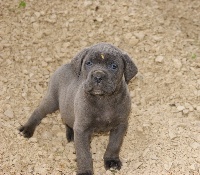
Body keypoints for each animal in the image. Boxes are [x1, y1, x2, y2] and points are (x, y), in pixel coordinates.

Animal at [19, 42, 138, 175]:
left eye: (113, 66)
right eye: (89, 63)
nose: (98, 76)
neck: (103, 100)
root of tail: (66, 65)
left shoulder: (120, 125)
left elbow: (114, 145)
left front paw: (112, 161)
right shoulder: (82, 129)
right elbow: (84, 154)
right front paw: (85, 171)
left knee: (67, 118)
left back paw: (71, 133)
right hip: (52, 101)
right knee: (39, 111)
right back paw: (27, 128)